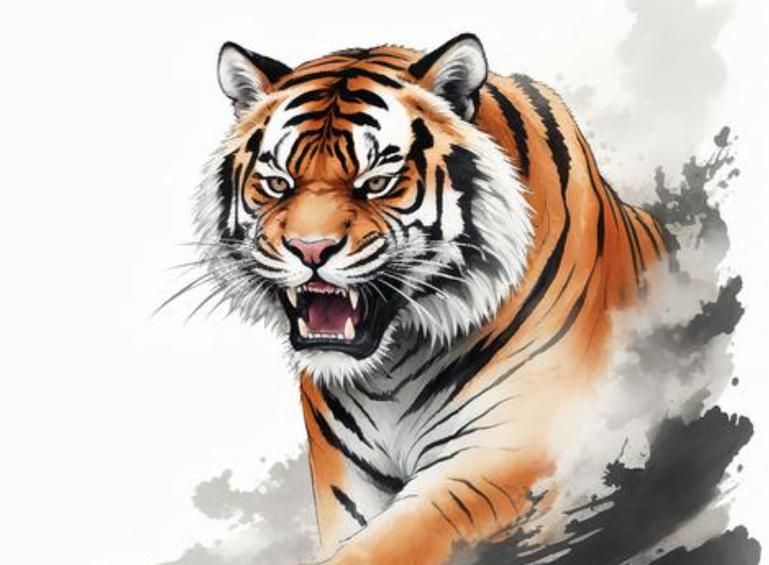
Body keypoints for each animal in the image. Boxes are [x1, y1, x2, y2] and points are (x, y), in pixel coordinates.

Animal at [194, 33, 667, 565]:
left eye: (376, 183)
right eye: (278, 184)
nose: (309, 249)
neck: (389, 369)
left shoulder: (503, 453)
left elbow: (388, 544)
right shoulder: (347, 479)